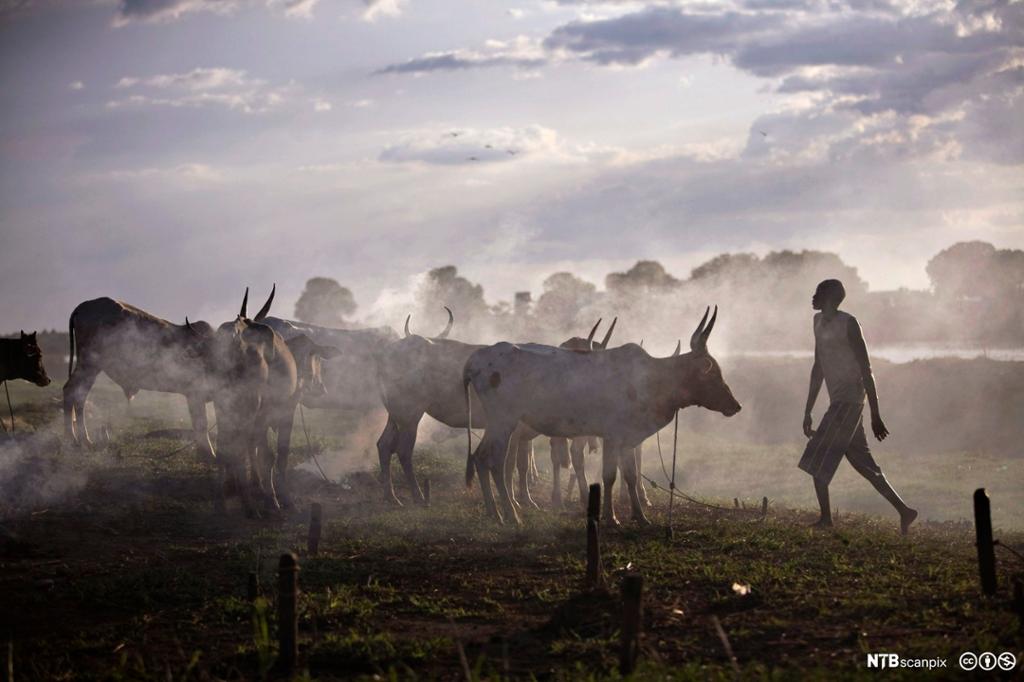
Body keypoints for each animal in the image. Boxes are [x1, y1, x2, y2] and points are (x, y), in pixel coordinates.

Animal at [468, 307, 741, 524]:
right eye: (713, 373)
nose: (735, 405)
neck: (652, 379)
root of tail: (478, 360)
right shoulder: (612, 435)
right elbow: (609, 476)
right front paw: (611, 517)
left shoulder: (628, 439)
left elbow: (630, 476)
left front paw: (640, 516)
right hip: (504, 422)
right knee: (494, 461)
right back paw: (510, 514)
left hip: (498, 424)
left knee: (480, 458)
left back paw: (496, 513)